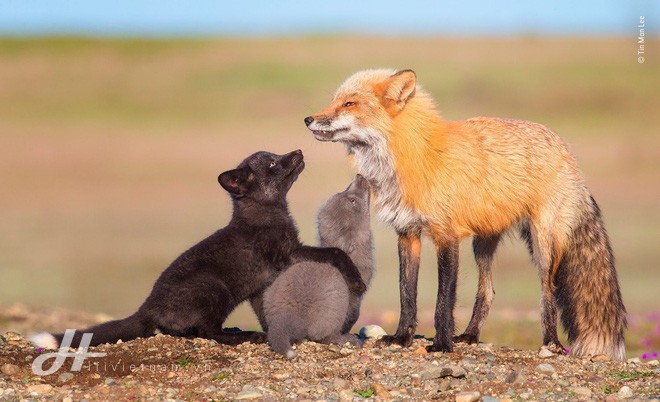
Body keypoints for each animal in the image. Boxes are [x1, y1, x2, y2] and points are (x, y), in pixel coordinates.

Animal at [306, 67, 628, 360]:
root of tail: (566, 148)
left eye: (350, 103)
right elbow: (406, 294)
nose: (308, 119)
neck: (415, 157)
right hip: (483, 242)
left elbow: (443, 300)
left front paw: (441, 344)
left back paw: (551, 343)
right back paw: (471, 335)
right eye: (334, 100)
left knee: (548, 291)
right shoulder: (408, 233)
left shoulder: (446, 236)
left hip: (543, 242)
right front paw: (401, 338)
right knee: (488, 291)